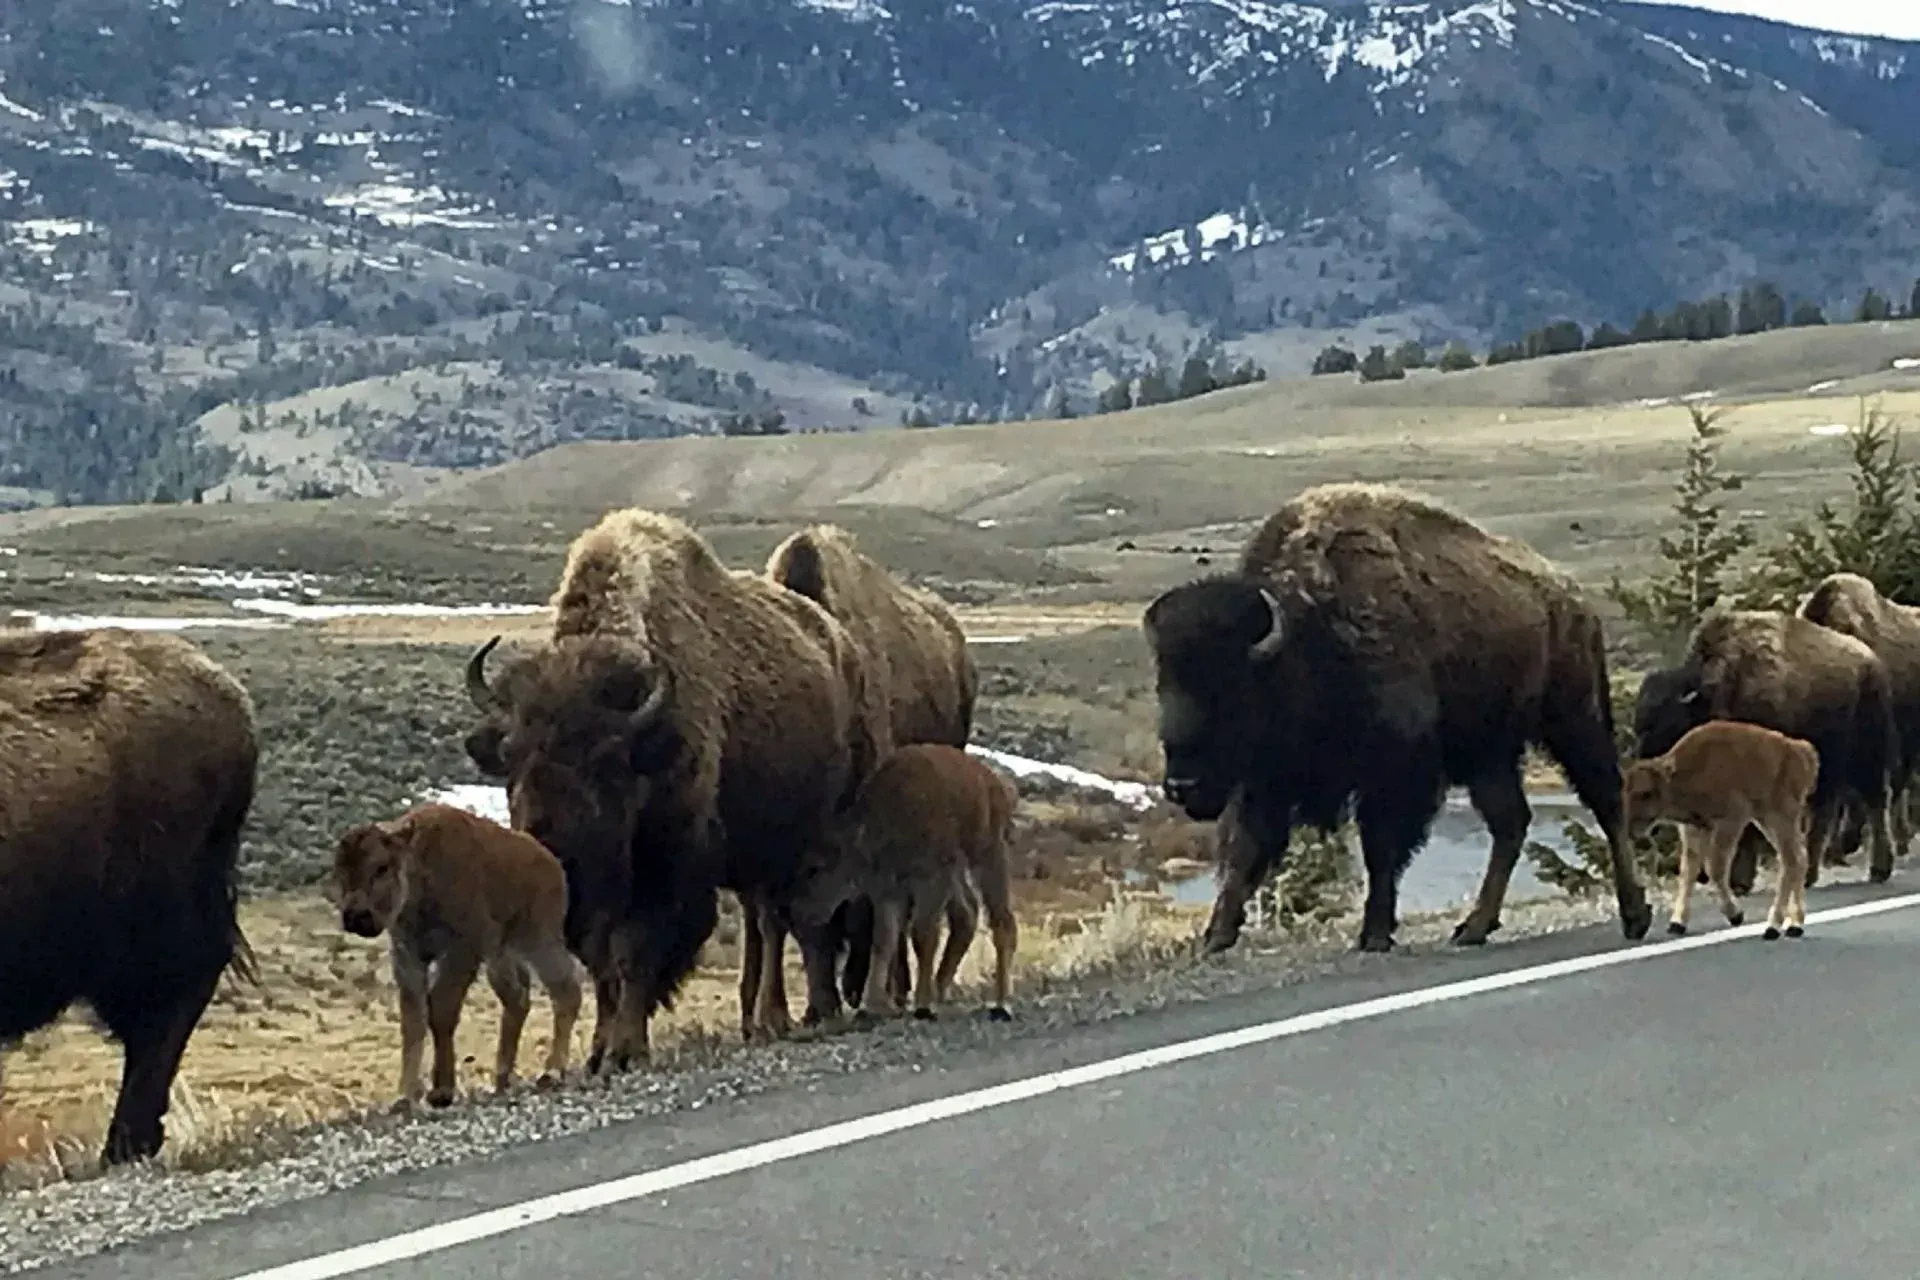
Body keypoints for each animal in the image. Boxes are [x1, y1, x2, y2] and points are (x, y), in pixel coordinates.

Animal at [332, 802, 582, 1108]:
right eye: (339, 870)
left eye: (381, 867)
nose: (355, 916)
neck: (420, 865)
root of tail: (553, 865)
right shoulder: (408, 955)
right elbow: (413, 1019)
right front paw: (405, 1095)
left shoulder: (461, 951)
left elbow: (441, 1010)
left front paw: (441, 1090)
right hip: (500, 956)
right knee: (518, 1000)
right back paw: (502, 1078)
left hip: (538, 941)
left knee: (566, 990)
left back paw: (552, 1072)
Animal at [460, 508, 887, 1073]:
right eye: (511, 758)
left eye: (603, 762)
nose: (550, 844)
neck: (646, 735)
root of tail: (845, 649)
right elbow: (603, 966)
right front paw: (599, 1052)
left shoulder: (667, 872)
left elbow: (635, 955)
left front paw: (626, 1049)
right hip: (760, 858)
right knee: (776, 923)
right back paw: (775, 1018)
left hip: (813, 841)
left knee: (806, 923)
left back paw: (814, 1011)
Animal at [1141, 481, 1654, 955]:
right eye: (1164, 685)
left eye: (1230, 687)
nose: (1181, 786)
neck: (1309, 636)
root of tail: (1575, 601)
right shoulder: (1266, 782)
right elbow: (1244, 850)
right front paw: (1215, 936)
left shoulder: (1394, 774)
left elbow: (1381, 850)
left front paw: (1374, 933)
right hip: (1487, 753)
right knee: (1511, 822)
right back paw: (1473, 927)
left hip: (1572, 719)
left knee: (1606, 798)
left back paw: (1634, 914)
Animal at [1622, 720, 1819, 940]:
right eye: (1625, 791)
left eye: (1645, 793)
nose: (1630, 827)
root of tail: (1801, 751)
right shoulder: (1694, 828)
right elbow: (1688, 870)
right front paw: (1677, 923)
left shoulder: (1730, 820)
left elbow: (1715, 868)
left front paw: (1735, 915)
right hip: (1767, 820)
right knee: (1799, 858)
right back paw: (1794, 925)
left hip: (1779, 817)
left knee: (1790, 860)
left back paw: (1773, 927)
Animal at [1632, 608, 1899, 890]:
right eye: (1639, 725)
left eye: (1667, 723)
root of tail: (1872, 662)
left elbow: (1748, 829)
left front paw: (1739, 880)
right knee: (1827, 812)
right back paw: (1812, 873)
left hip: (1864, 756)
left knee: (1872, 802)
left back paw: (1876, 869)